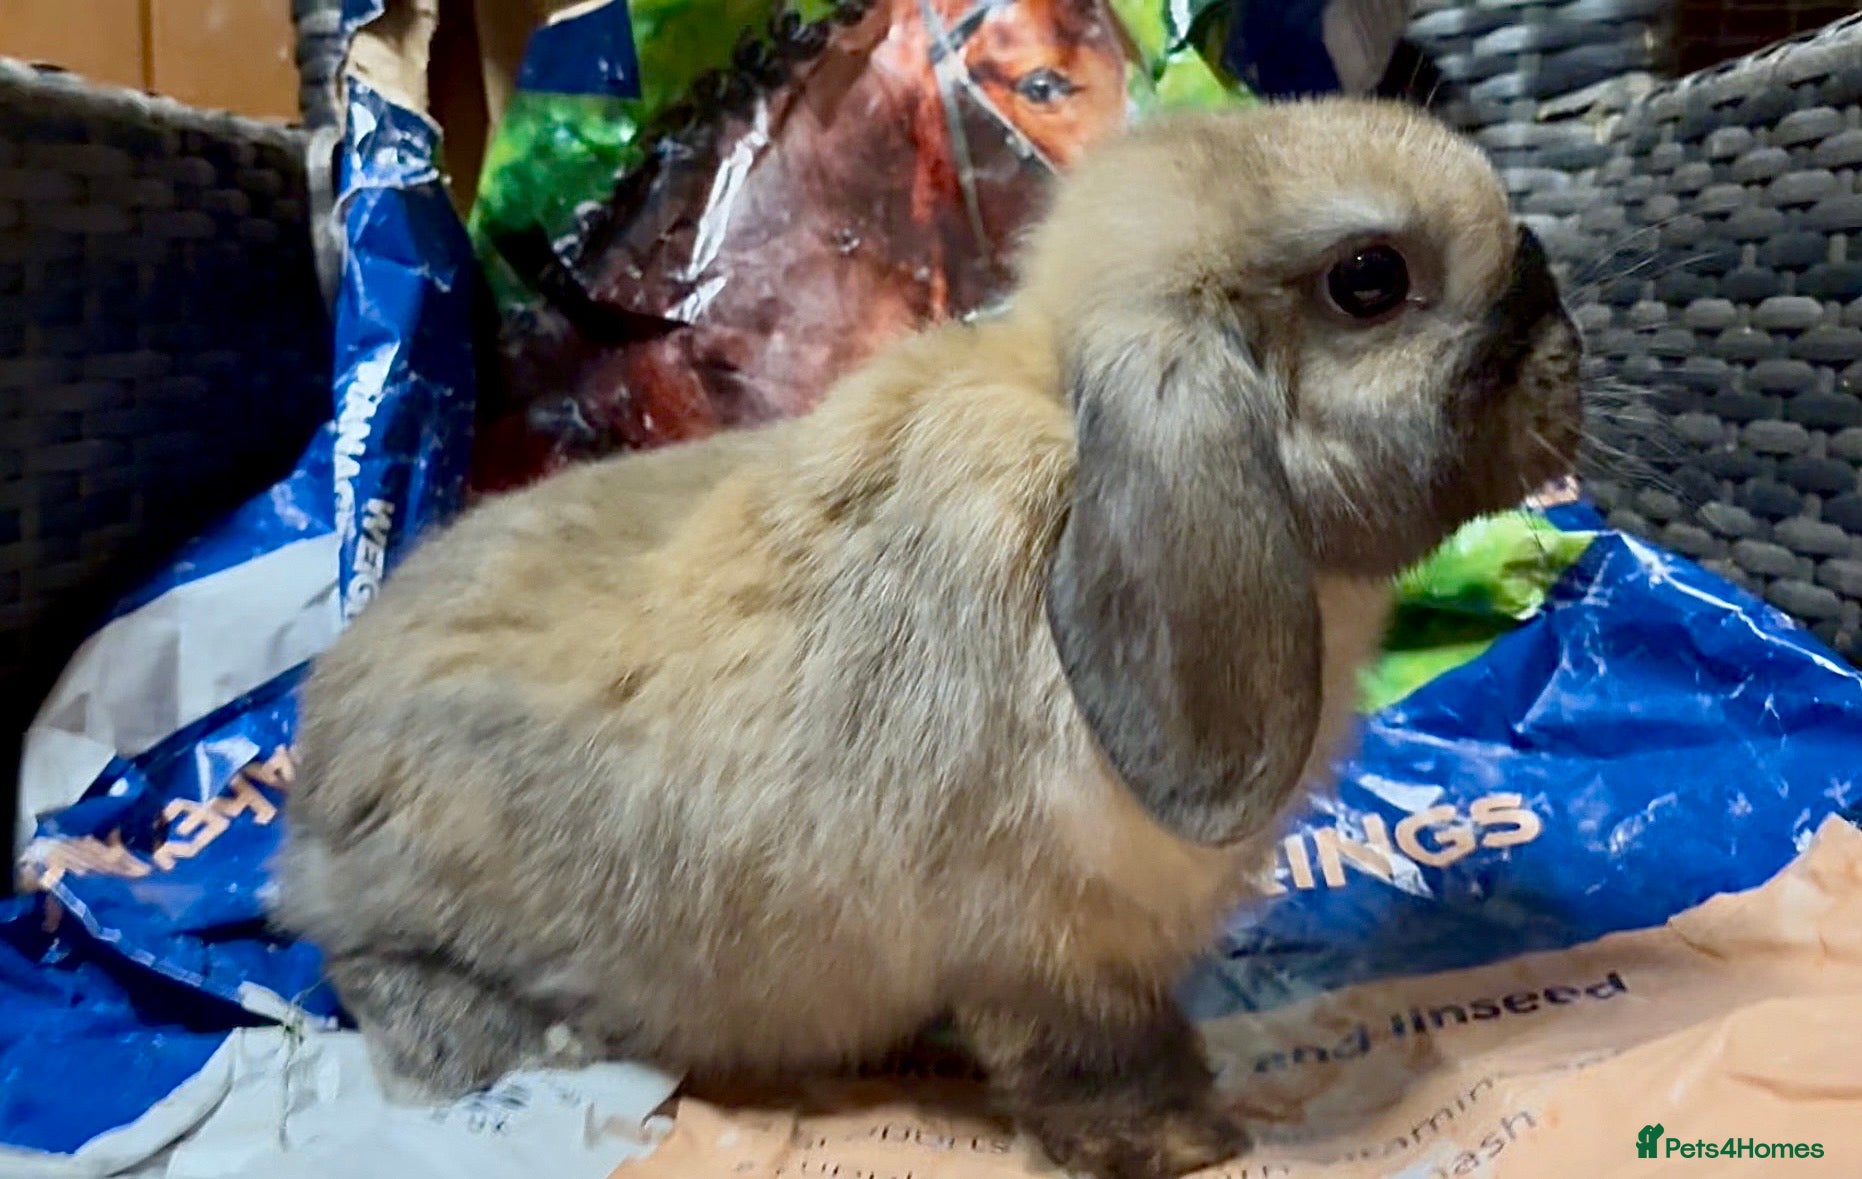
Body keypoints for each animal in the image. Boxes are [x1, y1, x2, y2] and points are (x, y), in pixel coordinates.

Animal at [271, 97, 1582, 1179]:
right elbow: (1089, 1064)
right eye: (1368, 280)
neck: (1070, 446)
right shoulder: (1045, 956)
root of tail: (305, 792)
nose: (1569, 354)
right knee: (362, 965)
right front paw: (1182, 1141)